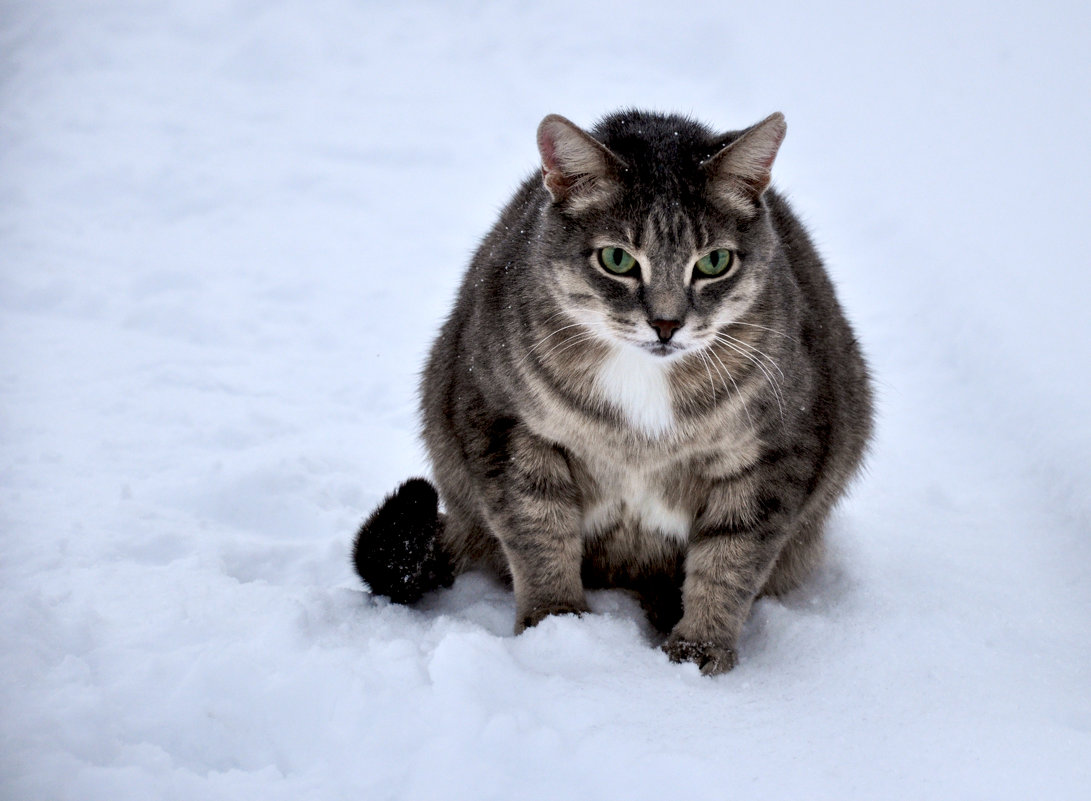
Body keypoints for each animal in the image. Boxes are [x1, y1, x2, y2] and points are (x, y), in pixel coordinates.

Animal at [353, 109, 872, 676]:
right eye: (617, 260)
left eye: (714, 262)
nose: (666, 324)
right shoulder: (502, 422)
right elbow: (538, 529)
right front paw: (556, 626)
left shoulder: (779, 449)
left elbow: (731, 557)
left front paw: (699, 650)